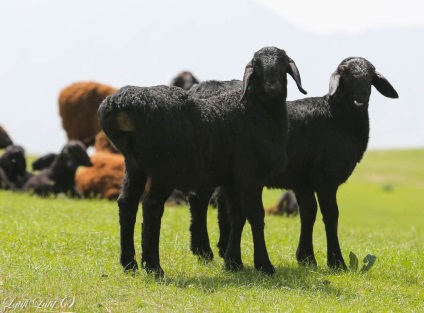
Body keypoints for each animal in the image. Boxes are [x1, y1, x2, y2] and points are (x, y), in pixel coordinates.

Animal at [97, 46, 306, 276]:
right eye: (257, 66)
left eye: (283, 64)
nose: (272, 84)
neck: (256, 110)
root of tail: (121, 105)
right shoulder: (251, 176)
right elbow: (256, 217)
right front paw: (264, 265)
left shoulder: (233, 180)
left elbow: (236, 217)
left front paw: (233, 262)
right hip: (164, 169)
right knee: (151, 206)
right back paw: (154, 267)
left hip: (134, 165)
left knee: (127, 203)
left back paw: (129, 264)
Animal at [187, 55, 400, 268]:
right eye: (345, 75)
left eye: (371, 77)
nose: (361, 98)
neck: (338, 117)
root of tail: (198, 88)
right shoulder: (325, 178)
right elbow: (331, 215)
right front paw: (336, 261)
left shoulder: (302, 181)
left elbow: (308, 213)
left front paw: (306, 258)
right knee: (199, 200)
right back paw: (203, 250)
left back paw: (217, 250)